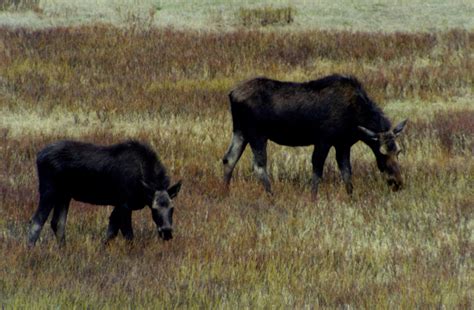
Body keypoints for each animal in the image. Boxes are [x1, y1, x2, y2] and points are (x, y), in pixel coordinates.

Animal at [27, 140, 181, 247]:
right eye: (154, 209)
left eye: (172, 208)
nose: (167, 231)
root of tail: (38, 156)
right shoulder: (125, 204)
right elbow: (128, 235)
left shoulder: (118, 205)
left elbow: (111, 231)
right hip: (49, 191)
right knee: (36, 221)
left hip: (64, 195)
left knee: (58, 223)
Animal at [222, 74, 408, 197]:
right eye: (382, 153)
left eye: (399, 152)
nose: (398, 183)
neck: (356, 117)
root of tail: (231, 94)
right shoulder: (323, 140)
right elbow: (317, 169)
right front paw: (313, 197)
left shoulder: (342, 143)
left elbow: (346, 171)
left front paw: (351, 196)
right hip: (257, 134)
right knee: (259, 165)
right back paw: (271, 195)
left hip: (240, 131)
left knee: (229, 159)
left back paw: (225, 192)